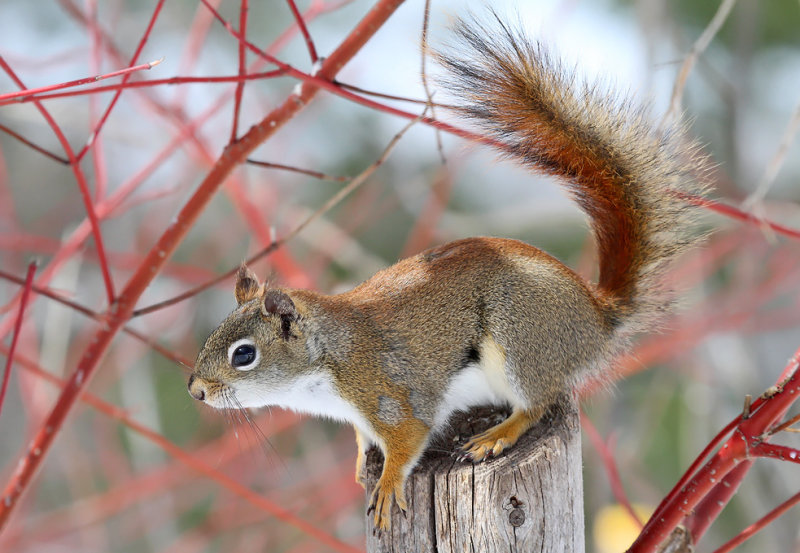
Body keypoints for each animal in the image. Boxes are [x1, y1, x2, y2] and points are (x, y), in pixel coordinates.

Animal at [186, 15, 708, 528]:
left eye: (244, 355)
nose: (196, 391)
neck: (326, 362)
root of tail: (598, 318)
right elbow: (362, 438)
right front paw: (360, 462)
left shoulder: (392, 396)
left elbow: (406, 442)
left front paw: (388, 483)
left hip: (521, 337)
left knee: (538, 403)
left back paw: (497, 435)